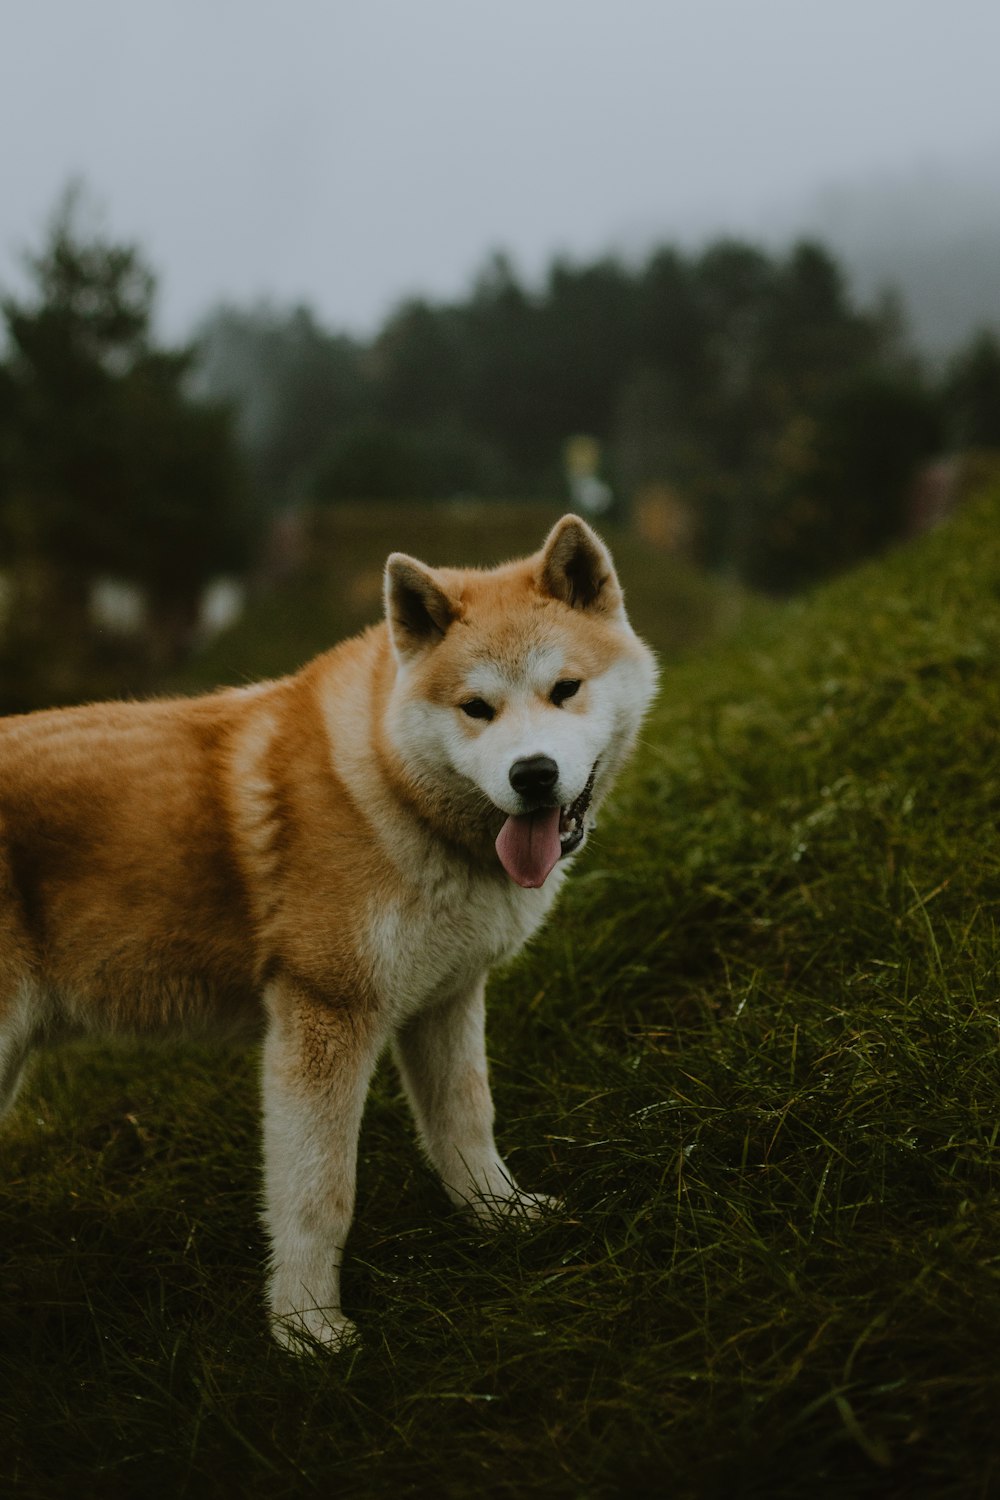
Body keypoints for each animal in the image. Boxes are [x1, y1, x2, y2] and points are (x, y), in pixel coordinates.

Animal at [1, 513, 656, 1350]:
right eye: (476, 707)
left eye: (564, 689)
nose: (533, 774)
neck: (388, 788)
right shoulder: (324, 1020)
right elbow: (320, 1196)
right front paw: (309, 1328)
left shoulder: (445, 1001)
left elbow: (466, 1124)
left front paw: (503, 1219)